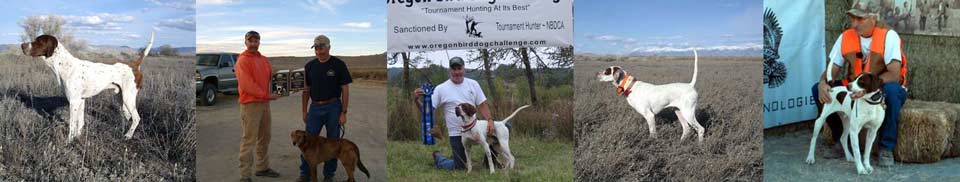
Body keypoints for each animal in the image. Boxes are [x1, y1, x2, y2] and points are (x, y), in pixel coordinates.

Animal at [21, 32, 154, 142]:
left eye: (39, 41)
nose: (22, 45)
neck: (65, 65)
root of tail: (134, 65)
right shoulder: (81, 100)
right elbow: (80, 123)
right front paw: (78, 137)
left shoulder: (73, 102)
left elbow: (72, 124)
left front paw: (69, 141)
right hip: (121, 98)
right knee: (127, 116)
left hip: (128, 97)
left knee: (136, 118)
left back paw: (128, 135)